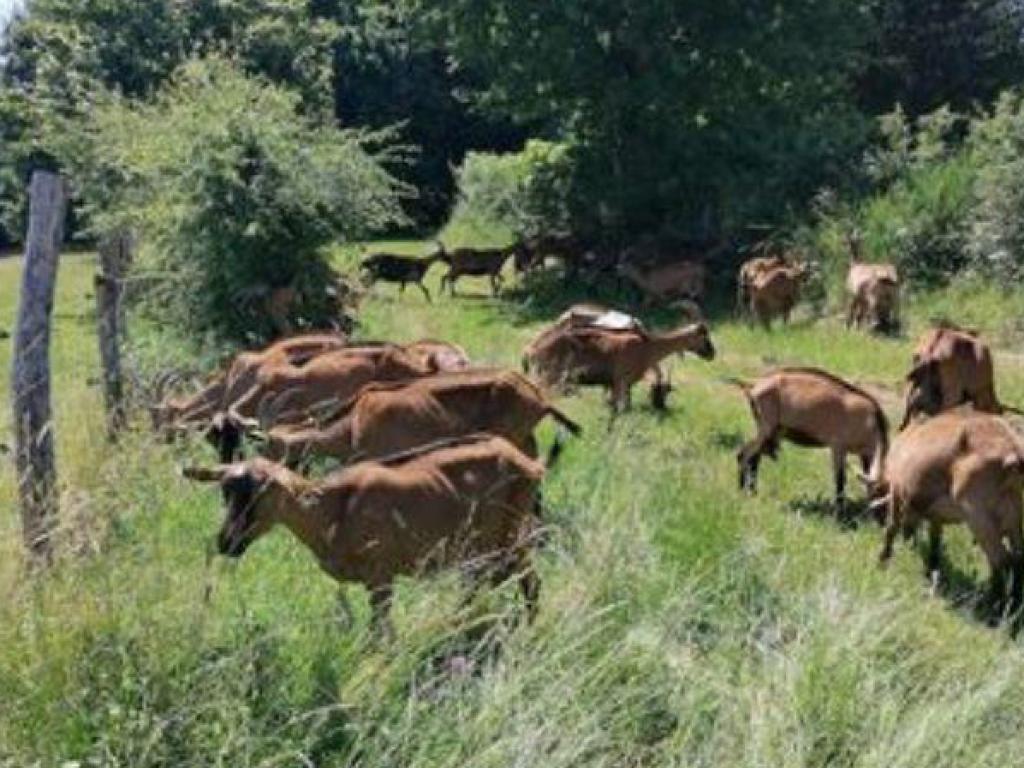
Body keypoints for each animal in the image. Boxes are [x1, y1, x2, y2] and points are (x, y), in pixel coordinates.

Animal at [187, 436, 548, 634]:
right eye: (225, 492)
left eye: (262, 495)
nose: (226, 542)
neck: (334, 510)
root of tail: (532, 465)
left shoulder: (381, 574)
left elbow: (380, 632)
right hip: (481, 547)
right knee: (483, 584)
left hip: (509, 534)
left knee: (529, 581)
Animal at [524, 321, 716, 411]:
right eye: (703, 336)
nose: (712, 353)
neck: (647, 346)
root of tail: (531, 350)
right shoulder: (619, 381)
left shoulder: (622, 385)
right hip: (548, 377)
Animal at [733, 368, 892, 507]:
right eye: (879, 492)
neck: (871, 422)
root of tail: (754, 385)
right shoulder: (838, 446)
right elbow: (840, 478)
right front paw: (839, 510)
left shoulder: (865, 453)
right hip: (766, 427)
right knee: (744, 454)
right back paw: (742, 491)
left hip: (770, 431)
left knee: (754, 458)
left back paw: (753, 491)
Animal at [872, 411, 1024, 618]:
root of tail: (1014, 452)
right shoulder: (936, 514)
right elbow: (935, 539)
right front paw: (932, 568)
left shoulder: (897, 490)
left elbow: (891, 527)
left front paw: (883, 560)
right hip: (1014, 515)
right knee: (1018, 557)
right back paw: (1014, 605)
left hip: (978, 515)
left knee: (1001, 560)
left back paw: (993, 607)